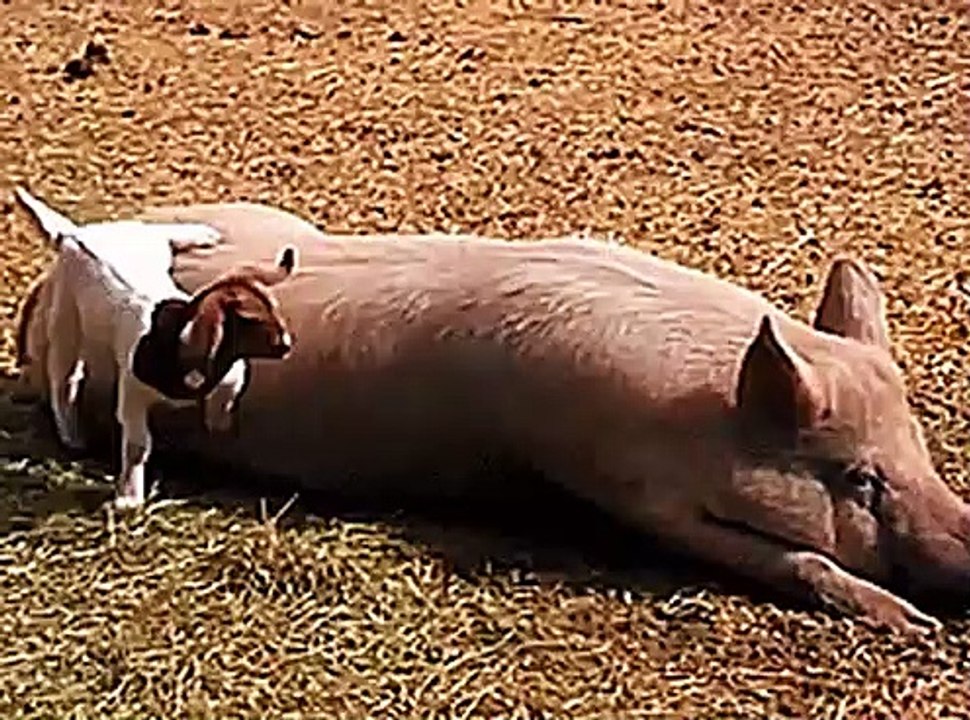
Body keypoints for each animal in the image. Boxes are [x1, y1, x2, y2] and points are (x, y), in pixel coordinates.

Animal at [16, 200, 970, 633]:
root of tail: (34, 299)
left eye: (920, 450)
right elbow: (793, 558)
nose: (962, 558)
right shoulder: (628, 486)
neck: (698, 417)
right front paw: (908, 622)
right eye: (859, 479)